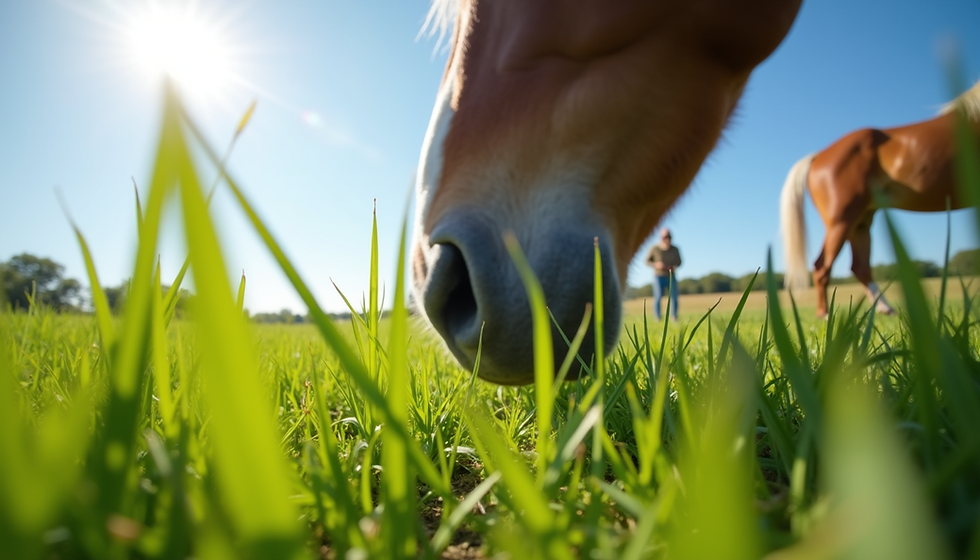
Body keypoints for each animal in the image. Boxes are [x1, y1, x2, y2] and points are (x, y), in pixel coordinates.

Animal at [780, 79, 980, 319]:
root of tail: (819, 155)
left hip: (861, 219)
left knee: (860, 266)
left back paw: (885, 308)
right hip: (841, 219)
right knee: (823, 267)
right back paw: (826, 315)